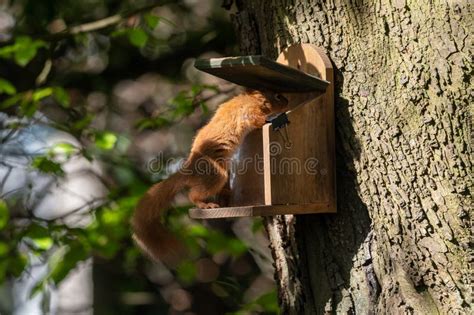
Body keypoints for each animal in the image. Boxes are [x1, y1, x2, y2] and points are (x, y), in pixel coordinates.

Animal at [132, 89, 288, 264]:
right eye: (277, 96)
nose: (288, 101)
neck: (252, 99)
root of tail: (190, 168)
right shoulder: (249, 112)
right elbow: (257, 120)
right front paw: (270, 120)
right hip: (215, 174)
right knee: (193, 194)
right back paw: (205, 205)